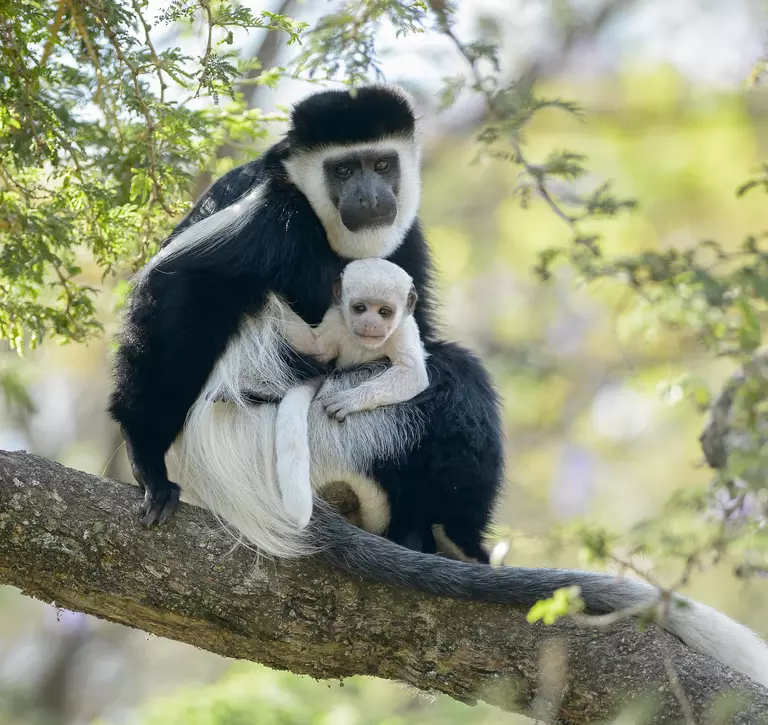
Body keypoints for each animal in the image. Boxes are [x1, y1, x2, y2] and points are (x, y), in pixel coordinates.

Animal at [272, 260, 428, 528]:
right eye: (360, 308)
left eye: (384, 312)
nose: (370, 323)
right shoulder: (336, 321)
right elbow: (315, 347)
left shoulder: (403, 332)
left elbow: (413, 374)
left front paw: (350, 400)